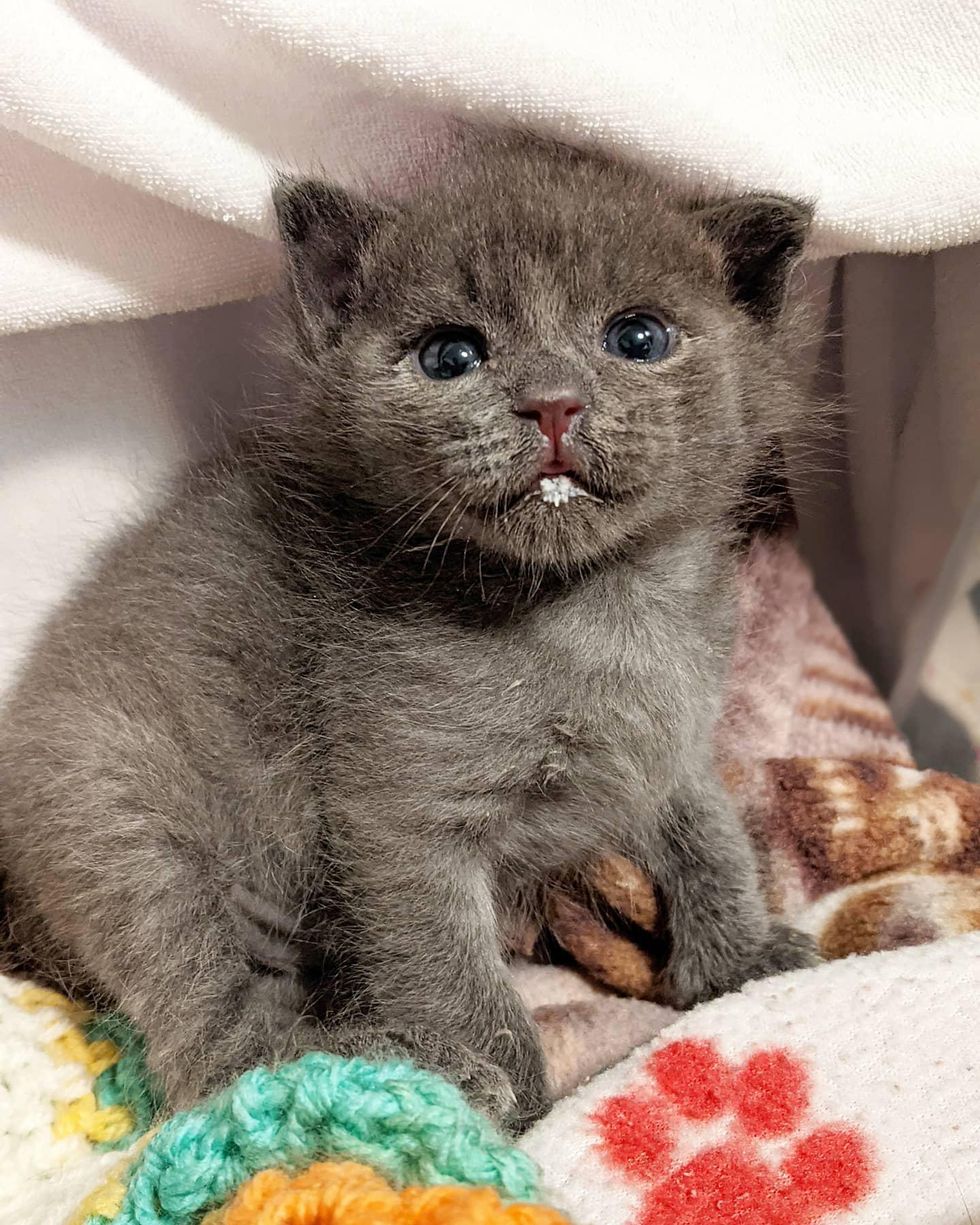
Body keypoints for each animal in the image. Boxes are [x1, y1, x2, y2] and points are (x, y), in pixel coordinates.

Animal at [0, 131, 813, 1127]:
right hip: (121, 833)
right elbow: (449, 968)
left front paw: (743, 961)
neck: (595, 608)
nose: (552, 401)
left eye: (638, 338)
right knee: (211, 1048)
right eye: (451, 354)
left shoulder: (675, 744)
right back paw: (375, 1065)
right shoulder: (399, 812)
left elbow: (716, 837)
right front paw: (498, 1093)